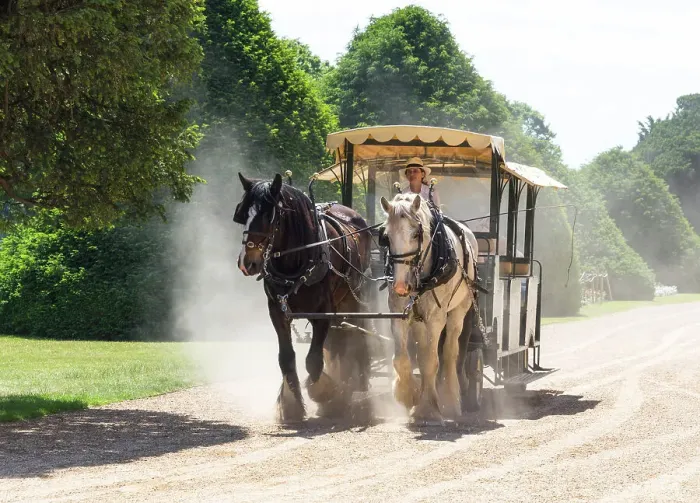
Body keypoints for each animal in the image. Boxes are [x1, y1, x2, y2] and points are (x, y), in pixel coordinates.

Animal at [234, 172, 374, 423]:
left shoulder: (323, 312)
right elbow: (286, 357)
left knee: (351, 337)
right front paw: (291, 404)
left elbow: (313, 360)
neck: (298, 259)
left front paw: (323, 391)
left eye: (268, 216)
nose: (247, 262)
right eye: (242, 215)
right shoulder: (277, 311)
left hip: (352, 298)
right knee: (338, 341)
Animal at [380, 193, 480, 424]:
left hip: (458, 311)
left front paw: (428, 408)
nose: (400, 285)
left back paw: (451, 399)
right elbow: (401, 359)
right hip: (418, 318)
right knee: (423, 349)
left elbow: (431, 361)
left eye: (416, 233)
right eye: (386, 237)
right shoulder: (398, 314)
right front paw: (408, 395)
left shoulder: (435, 318)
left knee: (450, 351)